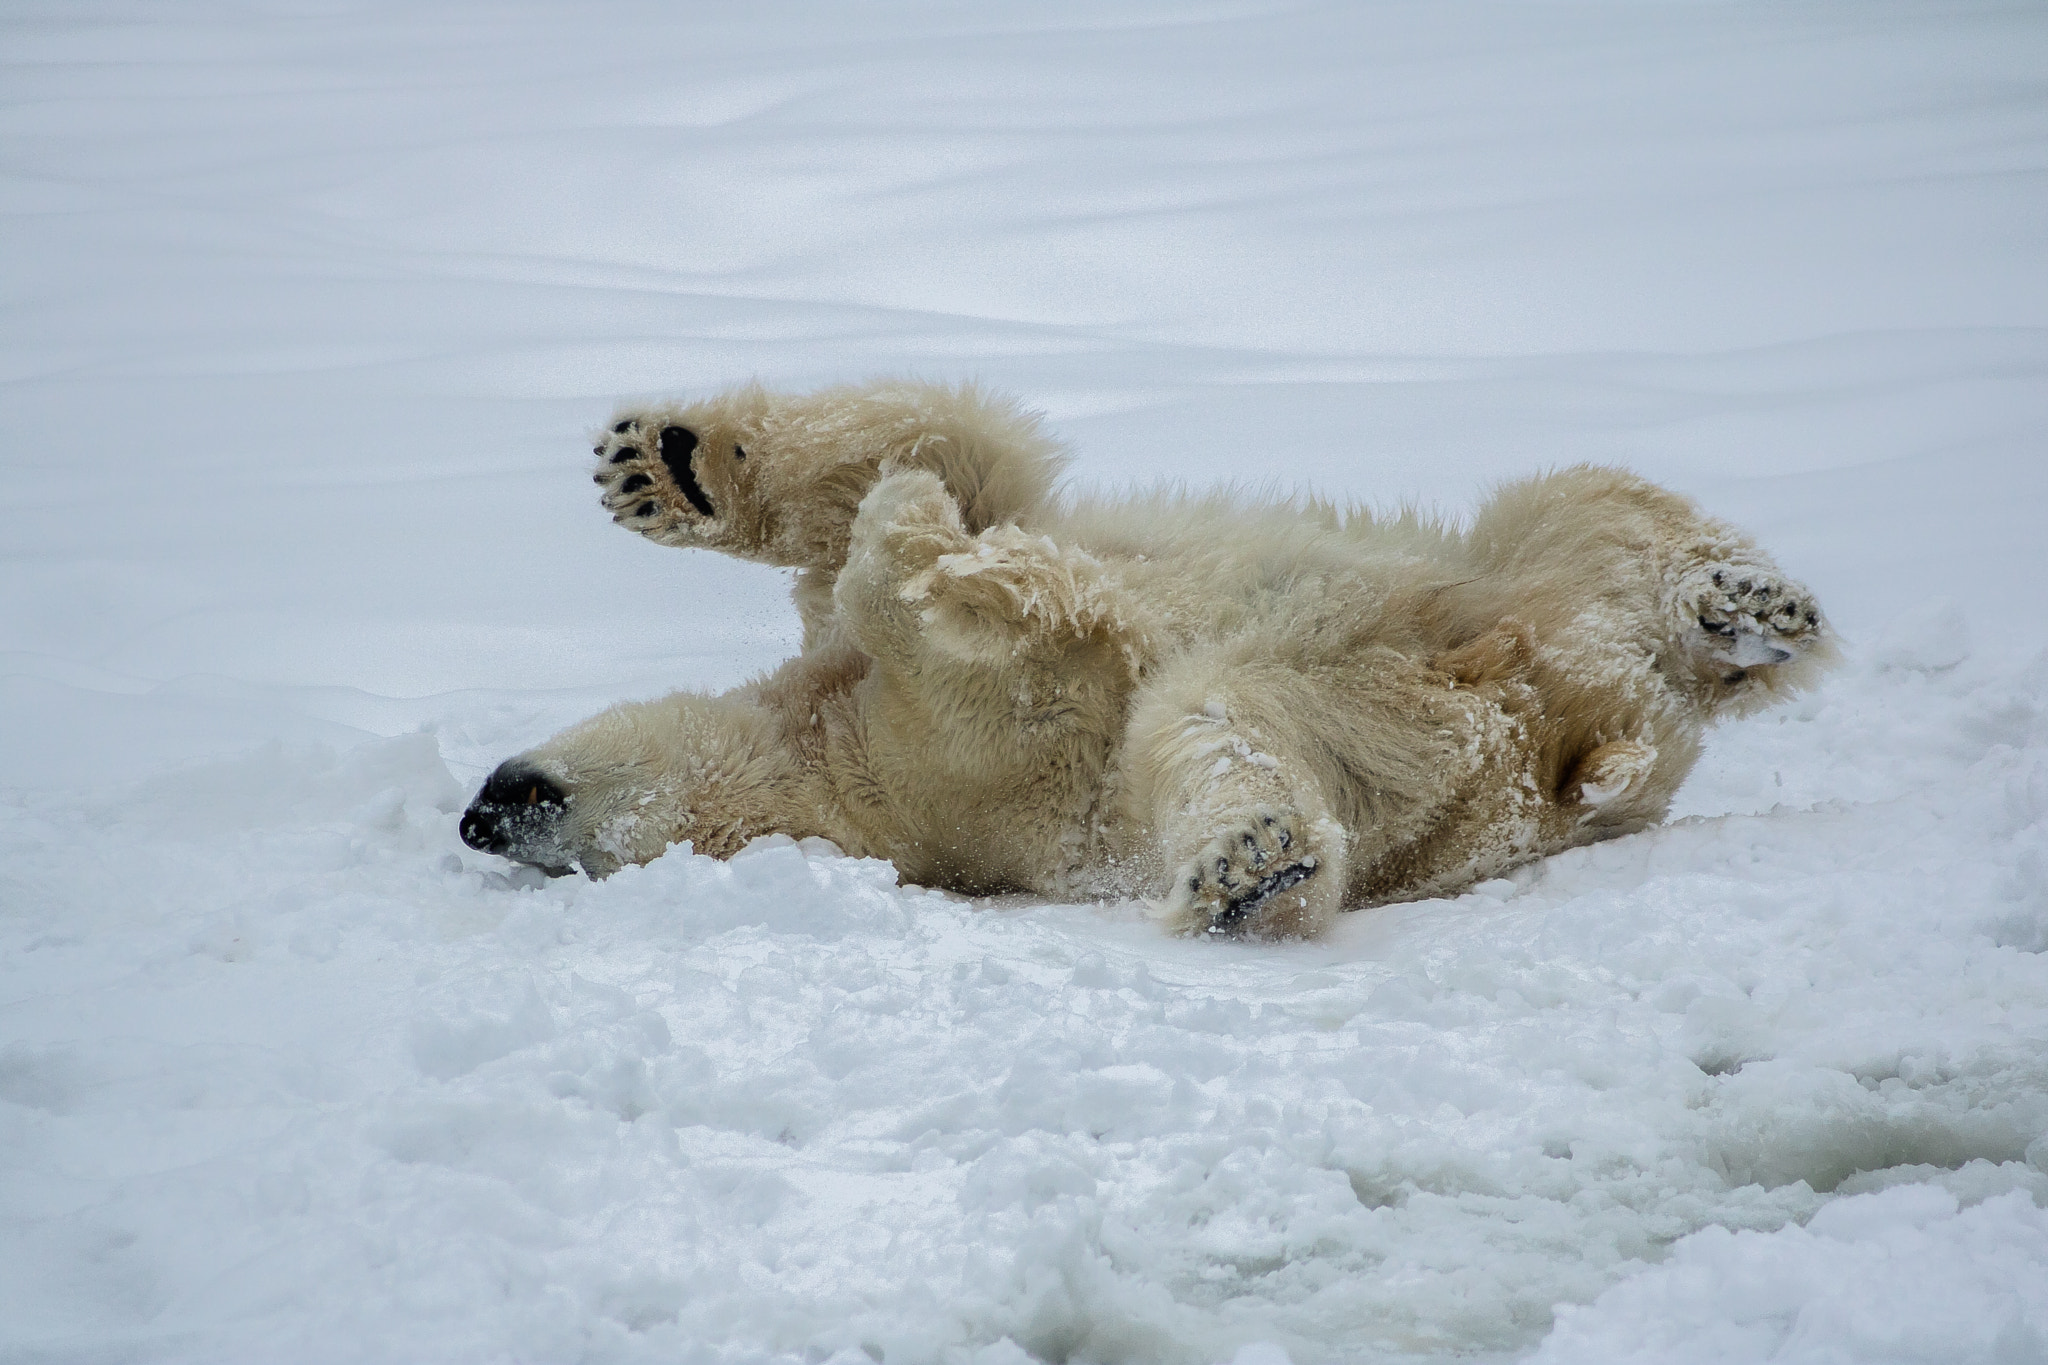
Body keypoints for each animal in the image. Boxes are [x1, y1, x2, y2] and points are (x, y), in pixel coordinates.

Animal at [459, 379, 1833, 937]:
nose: (480, 810)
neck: (819, 750)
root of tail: (1575, 743)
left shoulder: (853, 684)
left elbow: (941, 452)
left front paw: (664, 464)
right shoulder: (946, 766)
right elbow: (1014, 651)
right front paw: (925, 547)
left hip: (1492, 579)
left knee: (1586, 511)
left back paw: (1747, 609)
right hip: (1405, 733)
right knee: (1222, 719)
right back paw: (1251, 868)